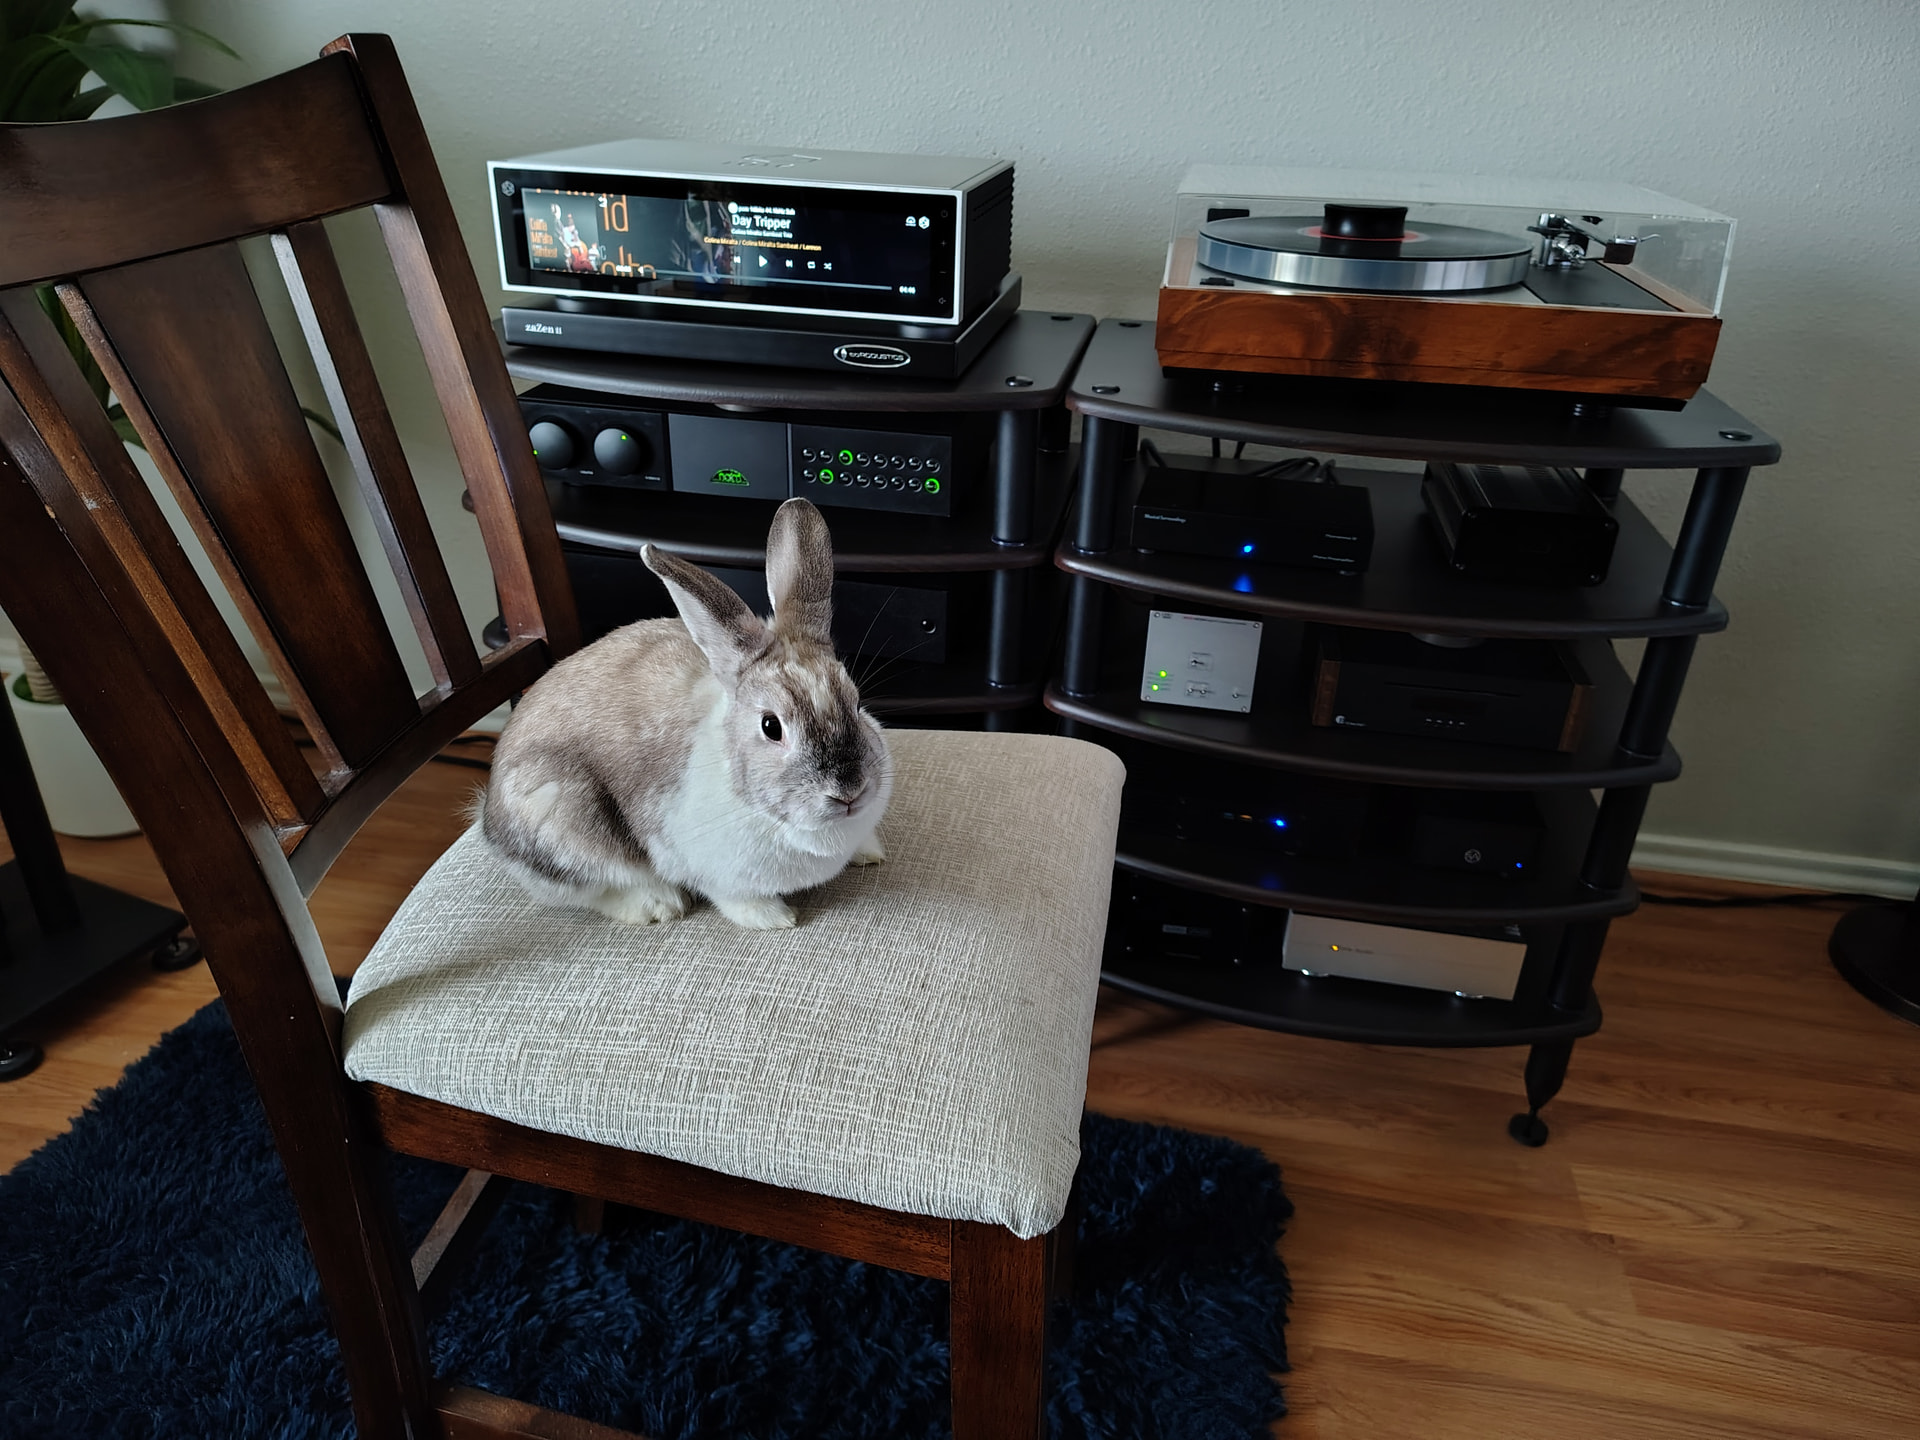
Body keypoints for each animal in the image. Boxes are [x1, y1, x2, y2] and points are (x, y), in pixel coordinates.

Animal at [481, 497, 892, 930]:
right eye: (771, 726)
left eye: (857, 703)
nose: (849, 791)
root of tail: (488, 819)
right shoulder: (705, 865)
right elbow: (734, 898)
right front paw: (775, 918)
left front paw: (870, 852)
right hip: (556, 814)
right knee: (589, 889)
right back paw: (660, 905)